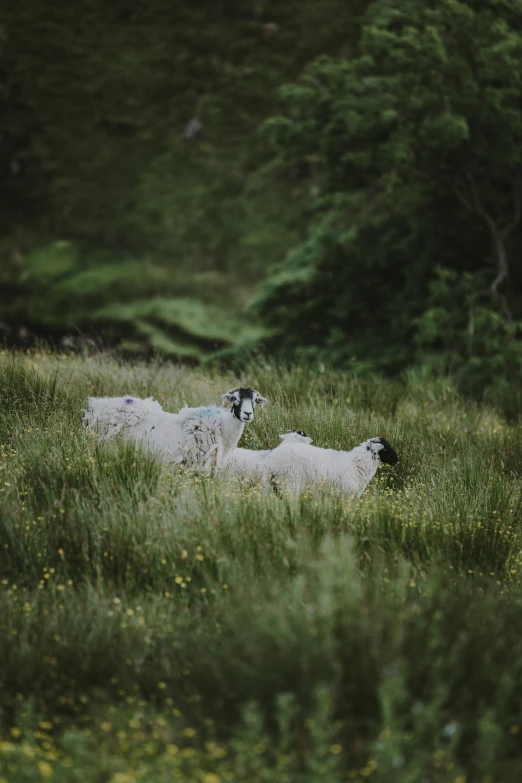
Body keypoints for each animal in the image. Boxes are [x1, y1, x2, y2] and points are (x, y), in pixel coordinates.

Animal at [84, 388, 268, 472]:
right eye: (235, 399)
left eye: (254, 400)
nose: (247, 414)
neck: (223, 429)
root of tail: (97, 405)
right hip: (104, 446)